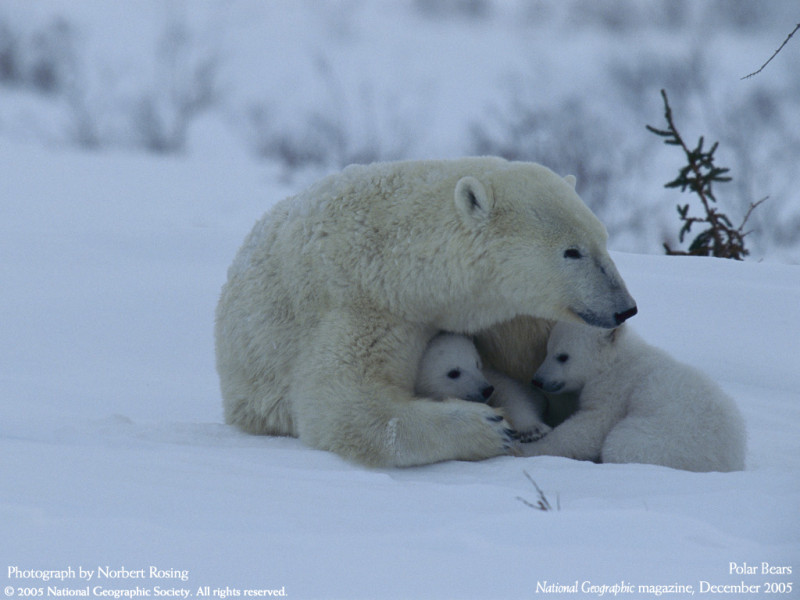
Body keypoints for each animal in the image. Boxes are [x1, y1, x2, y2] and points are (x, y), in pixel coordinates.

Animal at [416, 330, 552, 442]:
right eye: (453, 373)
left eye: (476, 363)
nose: (486, 390)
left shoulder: (490, 376)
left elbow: (511, 393)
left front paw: (532, 430)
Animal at [520, 322, 748, 472]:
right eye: (548, 349)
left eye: (563, 356)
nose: (537, 380)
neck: (616, 359)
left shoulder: (616, 387)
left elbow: (591, 427)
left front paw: (529, 447)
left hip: (667, 441)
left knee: (620, 444)